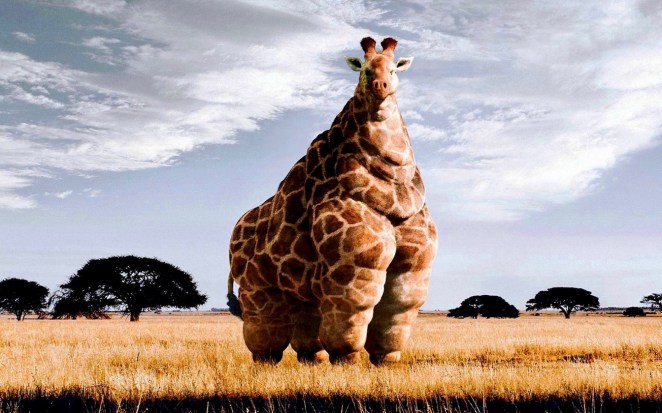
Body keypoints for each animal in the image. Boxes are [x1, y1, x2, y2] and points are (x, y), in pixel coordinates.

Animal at [227, 37, 437, 365]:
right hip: (257, 284)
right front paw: (346, 359)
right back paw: (266, 361)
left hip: (298, 288)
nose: (380, 86)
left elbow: (398, 308)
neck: (394, 188)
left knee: (306, 326)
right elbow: (352, 311)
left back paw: (313, 359)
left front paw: (386, 359)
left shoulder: (414, 264)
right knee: (264, 328)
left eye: (393, 68)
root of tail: (234, 232)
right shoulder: (356, 261)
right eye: (363, 69)